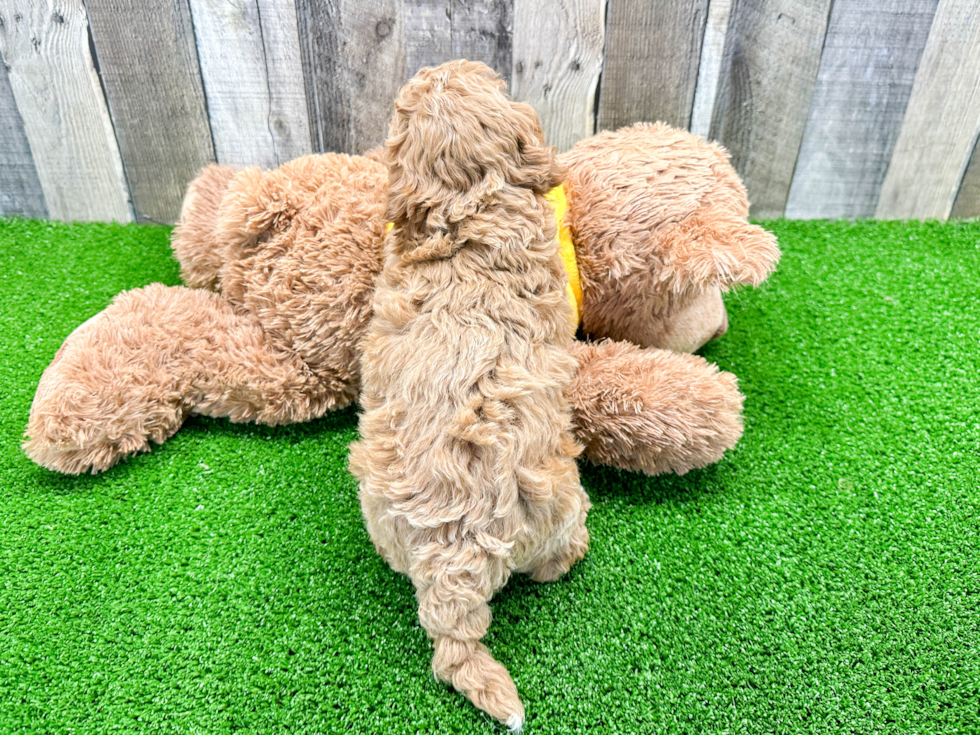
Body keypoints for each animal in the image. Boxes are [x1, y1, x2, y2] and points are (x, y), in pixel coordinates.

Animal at [348, 61, 584, 732]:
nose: (436, 66)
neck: (464, 207)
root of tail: (457, 551)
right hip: (564, 501)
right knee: (555, 559)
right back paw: (568, 560)